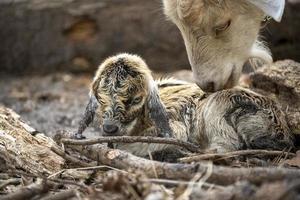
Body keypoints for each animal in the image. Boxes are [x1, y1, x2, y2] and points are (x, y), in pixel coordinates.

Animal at [75, 53, 292, 156]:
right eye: (100, 98)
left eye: (136, 99)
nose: (109, 128)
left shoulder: (175, 127)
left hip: (217, 109)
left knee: (228, 145)